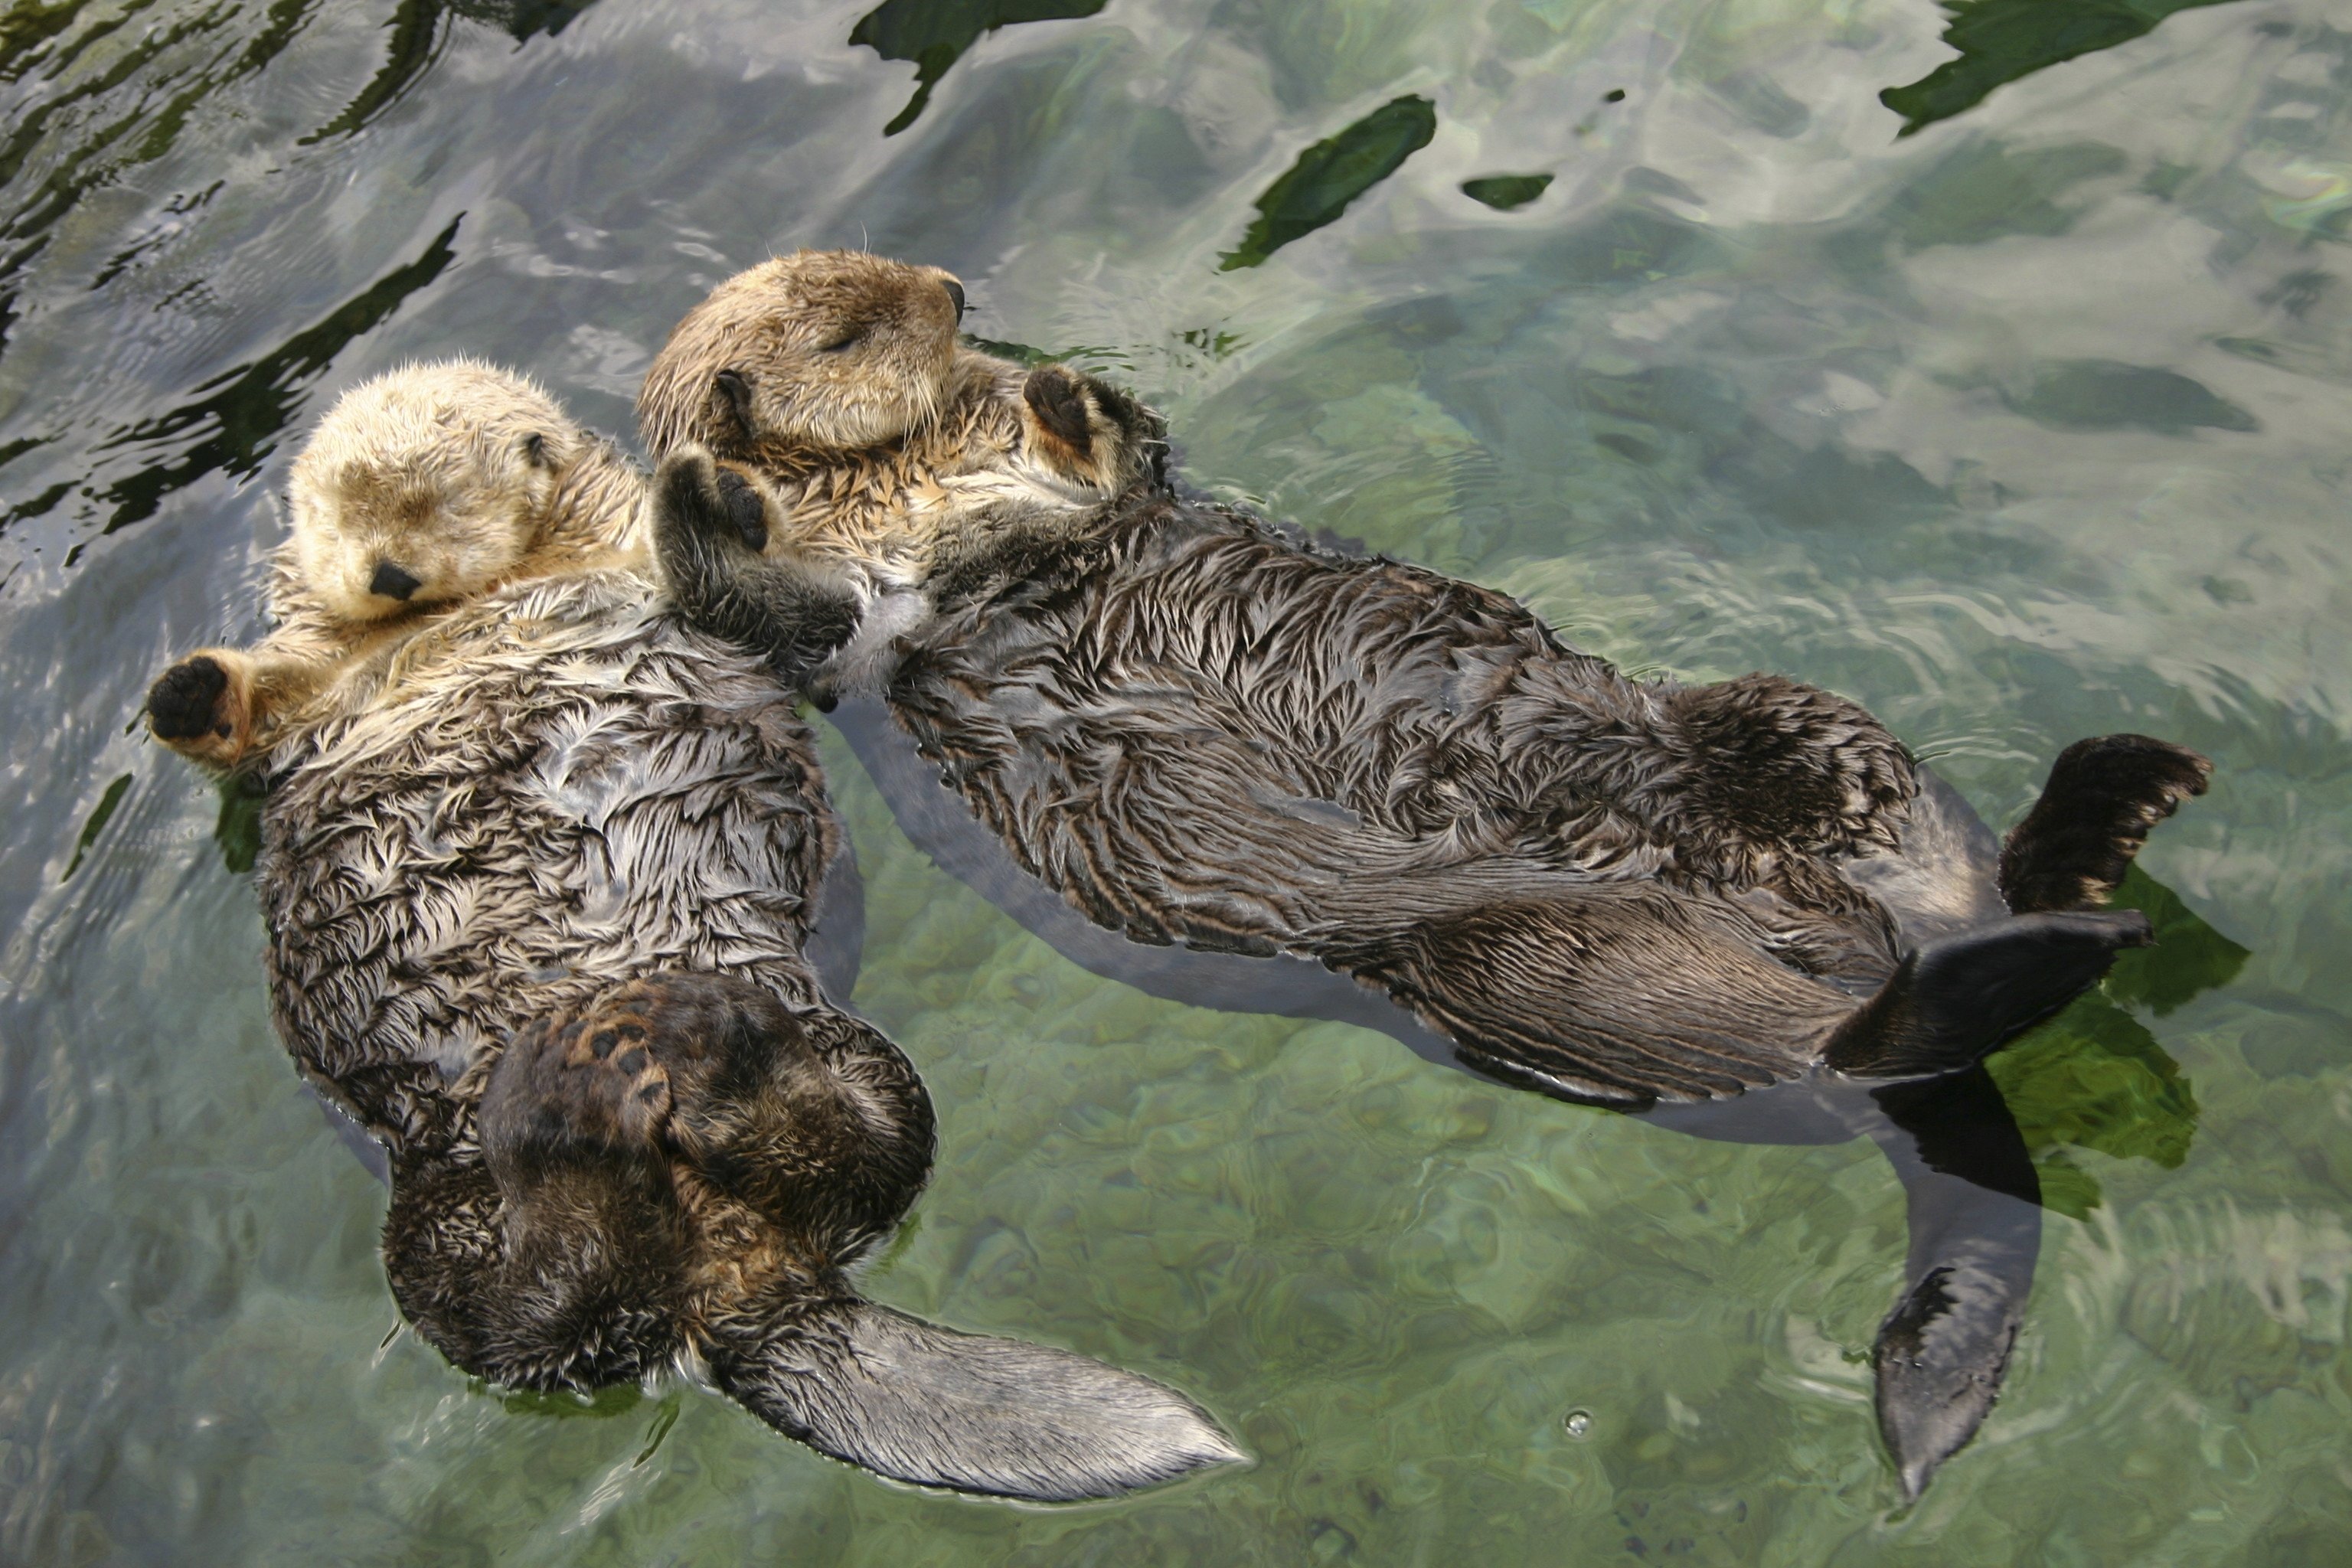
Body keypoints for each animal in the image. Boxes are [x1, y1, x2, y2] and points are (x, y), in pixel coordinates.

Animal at [143, 363, 1242, 1501]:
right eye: (334, 517)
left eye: (439, 504)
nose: (388, 572)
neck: (479, 599)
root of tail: (732, 1278)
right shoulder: (307, 680)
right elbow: (248, 708)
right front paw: (186, 685)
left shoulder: (654, 562)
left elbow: (756, 591)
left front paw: (728, 500)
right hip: (438, 1203)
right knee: (530, 1313)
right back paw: (592, 1100)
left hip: (832, 1040)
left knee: (866, 1150)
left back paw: (695, 1058)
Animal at [632, 251, 2212, 1494]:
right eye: (846, 332)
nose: (958, 297)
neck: (910, 485)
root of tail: (1831, 940)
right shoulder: (840, 638)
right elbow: (762, 602)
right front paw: (705, 484)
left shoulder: (1076, 501)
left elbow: (1126, 457)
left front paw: (1067, 395)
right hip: (1532, 966)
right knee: (1824, 1049)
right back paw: (2038, 936)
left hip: (1791, 736)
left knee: (1925, 869)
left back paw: (2103, 820)